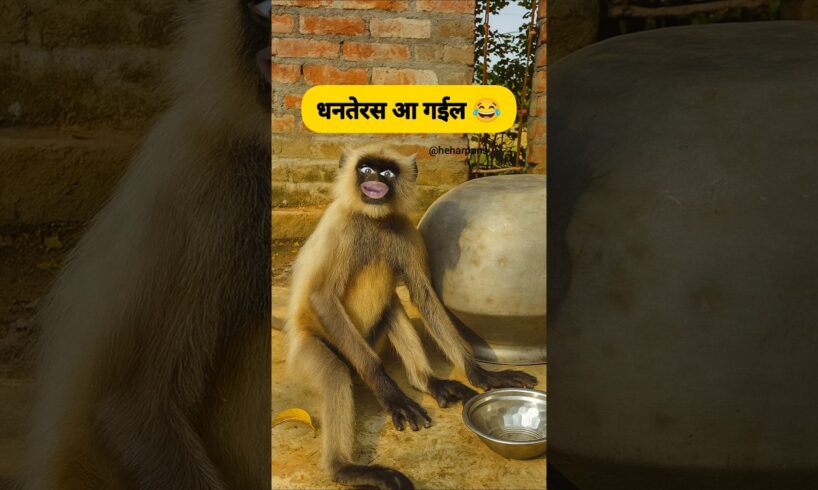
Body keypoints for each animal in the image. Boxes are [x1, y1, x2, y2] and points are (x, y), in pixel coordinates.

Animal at [285, 145, 539, 490]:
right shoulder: (340, 227)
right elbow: (322, 299)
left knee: (393, 306)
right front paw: (390, 392)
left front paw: (481, 374)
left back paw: (427, 381)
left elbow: (422, 294)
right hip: (312, 350)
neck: (373, 219)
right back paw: (346, 468)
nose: (375, 182)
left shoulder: (404, 229)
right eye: (365, 170)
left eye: (387, 172)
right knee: (336, 372)